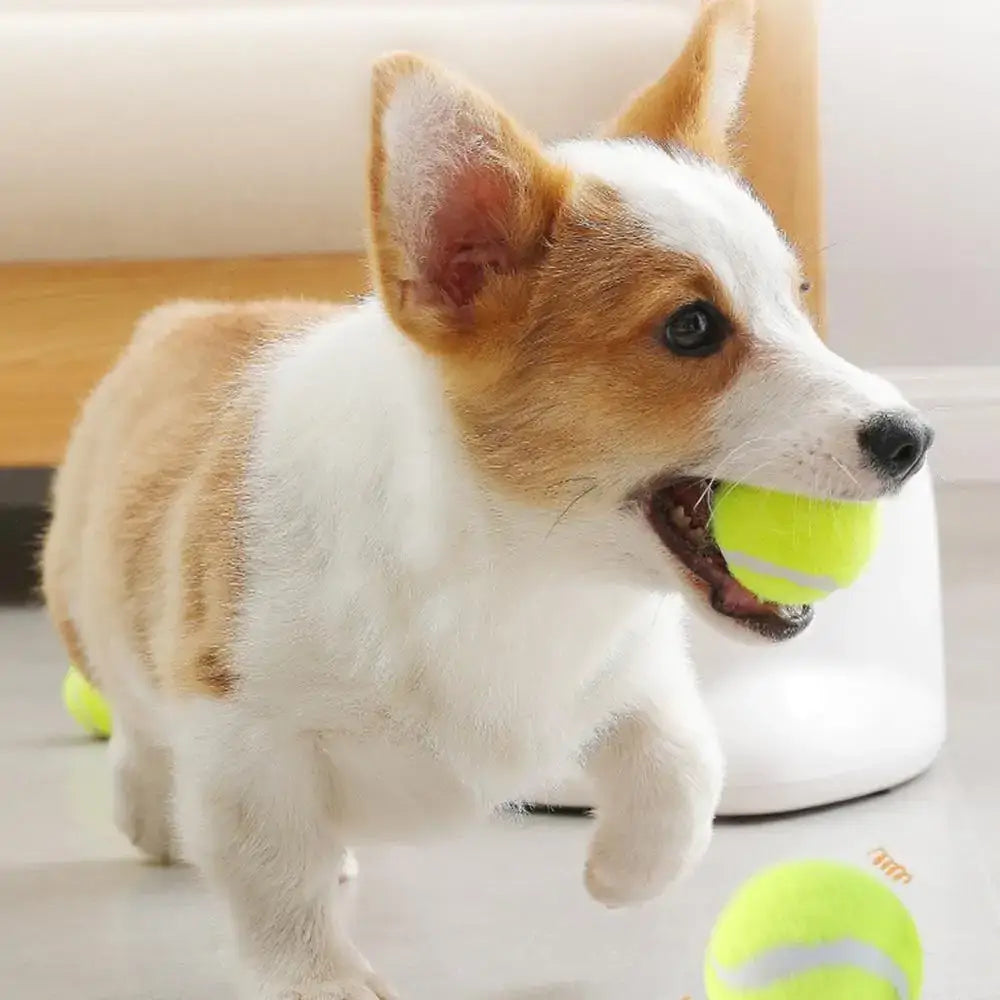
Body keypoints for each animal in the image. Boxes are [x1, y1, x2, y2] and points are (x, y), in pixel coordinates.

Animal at [39, 3, 928, 996]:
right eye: (692, 327)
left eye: (798, 296)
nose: (911, 439)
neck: (519, 569)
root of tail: (180, 316)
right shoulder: (241, 734)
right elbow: (274, 885)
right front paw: (320, 978)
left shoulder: (636, 667)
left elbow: (685, 763)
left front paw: (622, 874)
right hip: (93, 616)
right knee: (137, 729)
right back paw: (151, 815)